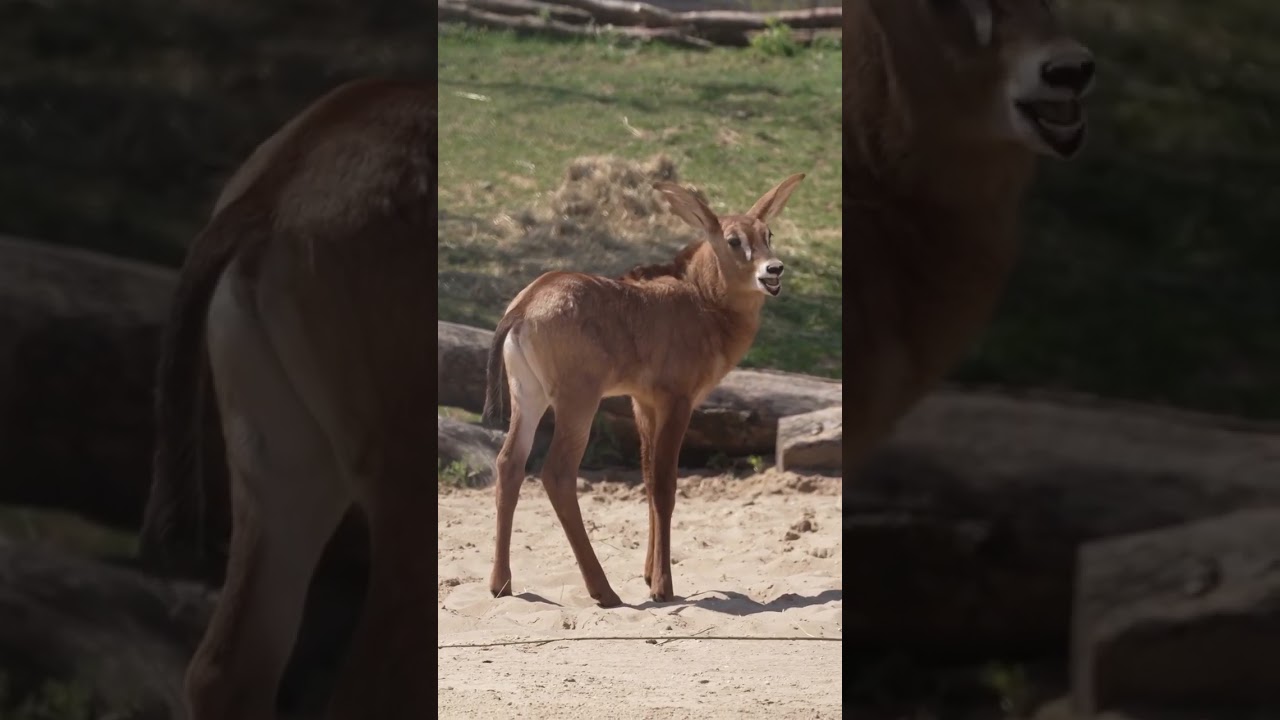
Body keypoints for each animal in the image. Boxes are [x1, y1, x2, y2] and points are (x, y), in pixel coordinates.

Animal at [482, 174, 805, 606]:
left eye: (767, 233)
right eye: (734, 240)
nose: (774, 269)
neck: (702, 299)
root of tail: (523, 306)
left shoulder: (643, 404)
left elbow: (649, 480)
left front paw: (649, 572)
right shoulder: (677, 401)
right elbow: (666, 485)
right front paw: (662, 586)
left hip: (528, 396)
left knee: (509, 464)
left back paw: (501, 583)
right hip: (577, 401)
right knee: (557, 473)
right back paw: (603, 591)